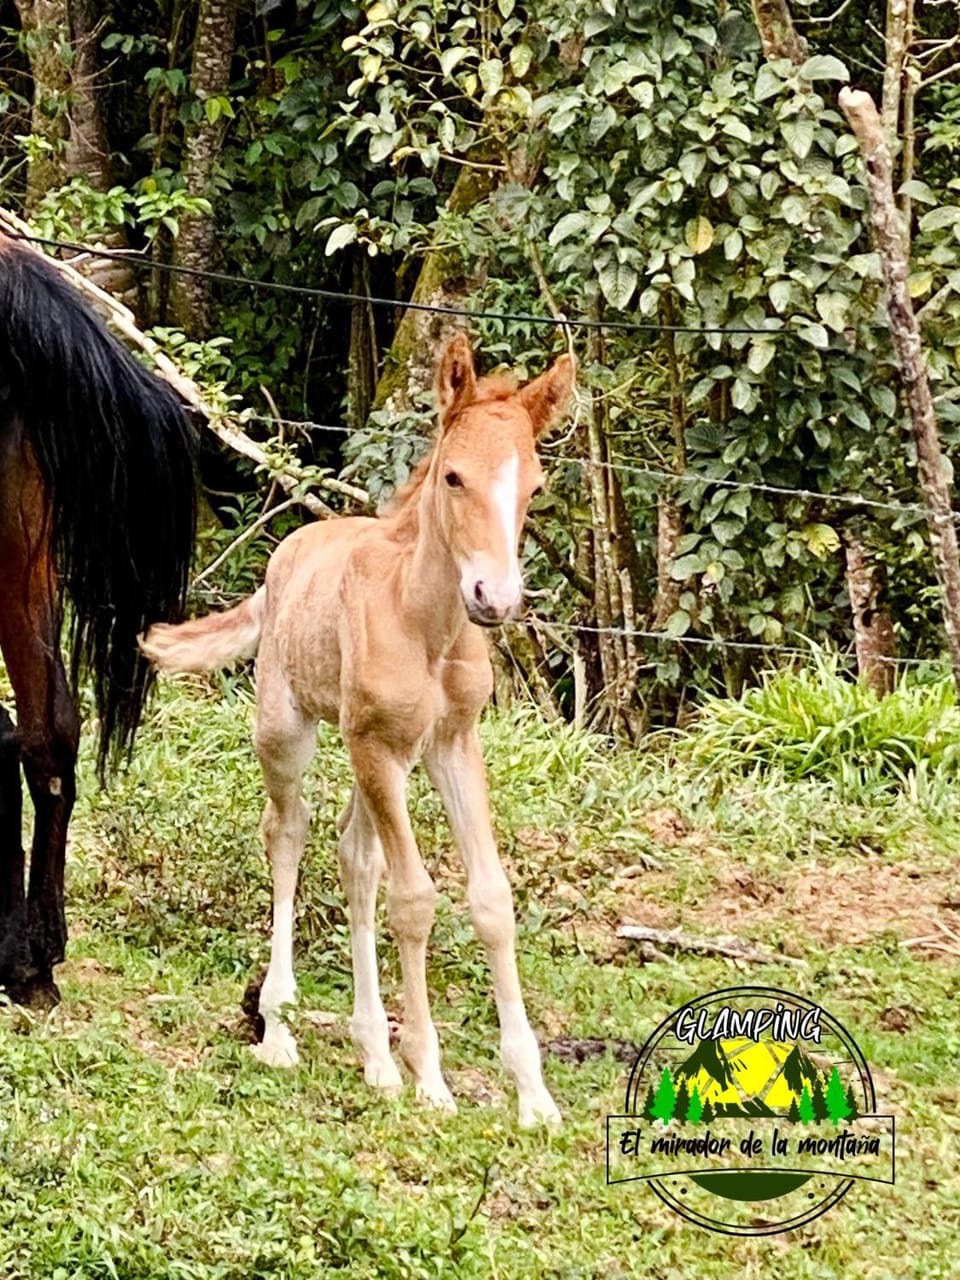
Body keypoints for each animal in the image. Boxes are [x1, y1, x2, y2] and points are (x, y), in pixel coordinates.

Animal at [141, 335, 575, 1127]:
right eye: (454, 477)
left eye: (533, 487)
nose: (494, 598)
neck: (425, 623)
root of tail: (282, 559)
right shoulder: (376, 746)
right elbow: (415, 900)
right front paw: (431, 1078)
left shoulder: (450, 745)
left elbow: (491, 900)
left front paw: (532, 1095)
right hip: (291, 730)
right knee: (288, 833)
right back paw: (280, 1026)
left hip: (378, 760)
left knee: (353, 856)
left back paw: (373, 1052)